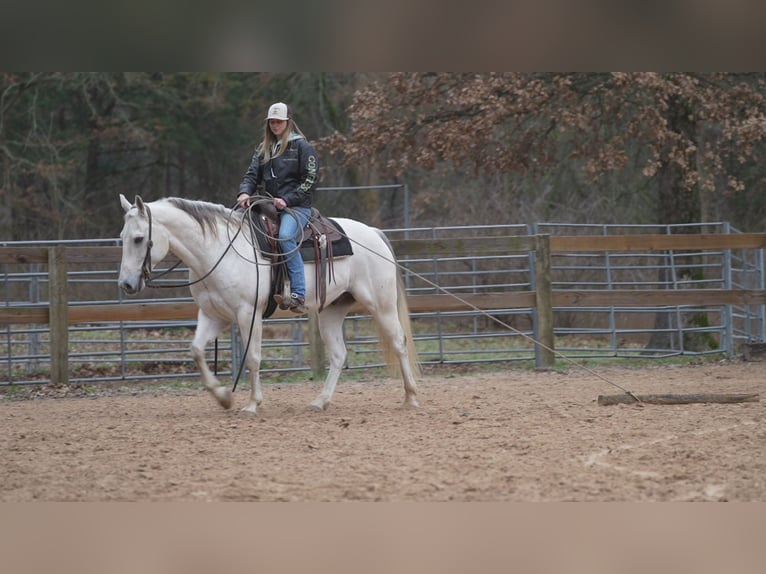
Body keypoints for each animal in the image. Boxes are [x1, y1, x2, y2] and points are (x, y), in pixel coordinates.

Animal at [117, 197, 424, 414]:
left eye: (139, 238)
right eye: (122, 238)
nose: (126, 284)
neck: (218, 250)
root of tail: (373, 233)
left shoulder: (247, 313)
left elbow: (252, 358)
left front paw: (253, 404)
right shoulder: (212, 314)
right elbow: (196, 351)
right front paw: (223, 397)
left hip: (382, 305)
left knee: (399, 342)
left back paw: (411, 397)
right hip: (331, 310)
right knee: (338, 355)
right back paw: (320, 401)